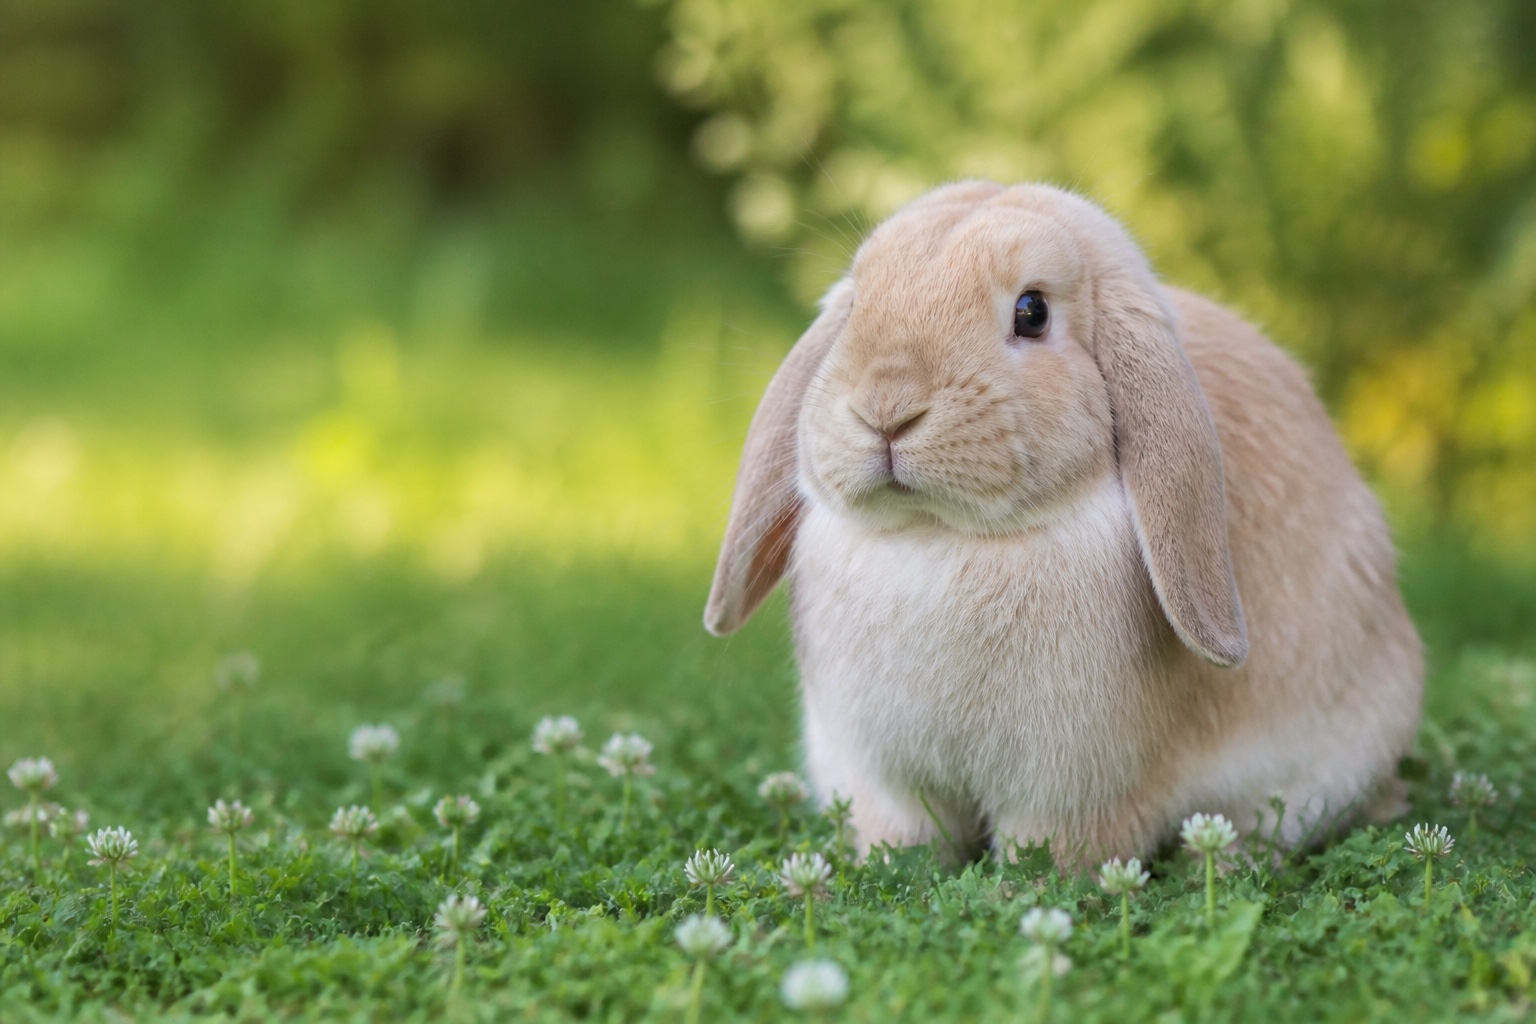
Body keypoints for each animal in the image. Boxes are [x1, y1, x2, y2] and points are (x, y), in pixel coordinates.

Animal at [705, 181, 1422, 865]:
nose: (886, 408)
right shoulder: (886, 779)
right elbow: (906, 838)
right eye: (855, 308)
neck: (942, 536)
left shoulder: (1075, 790)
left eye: (1032, 312)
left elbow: (1052, 852)